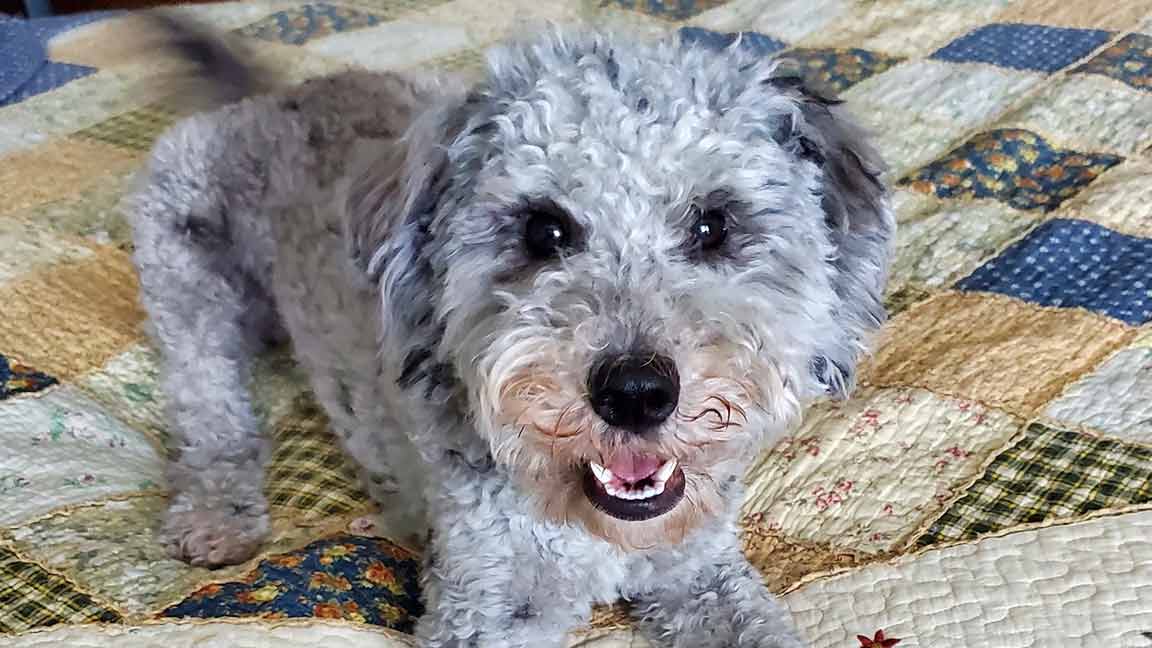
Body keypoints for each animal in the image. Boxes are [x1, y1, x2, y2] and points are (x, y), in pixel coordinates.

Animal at [128, 16, 898, 645]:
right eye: (543, 230)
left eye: (714, 225)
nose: (636, 392)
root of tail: (266, 96)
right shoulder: (484, 607)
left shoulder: (702, 572)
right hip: (182, 277)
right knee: (210, 414)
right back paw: (217, 515)